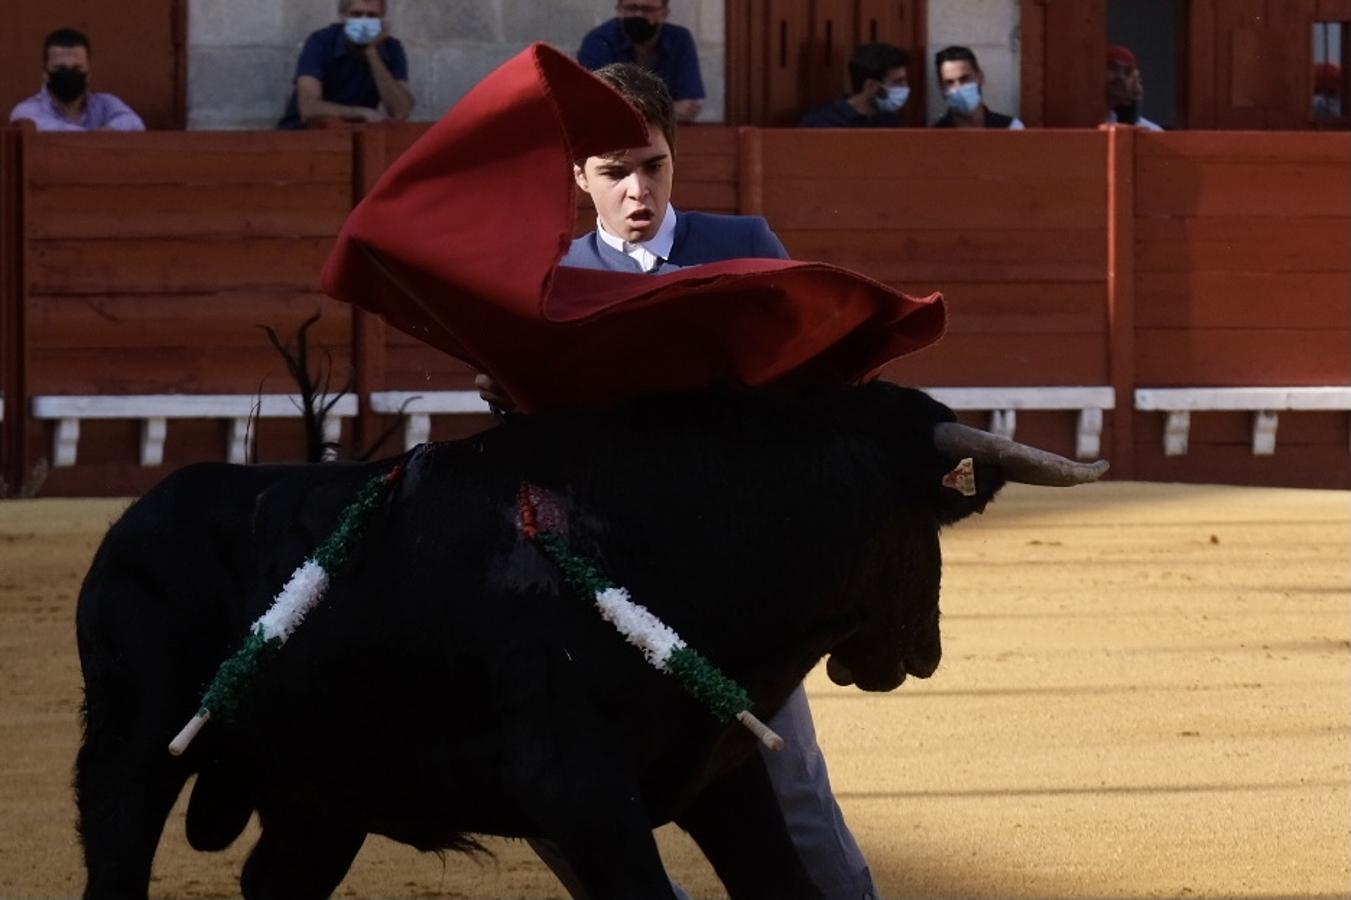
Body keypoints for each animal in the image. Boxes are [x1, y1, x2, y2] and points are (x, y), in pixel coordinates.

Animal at [73, 381, 1102, 891]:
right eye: (933, 521)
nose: (918, 652)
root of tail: (131, 522)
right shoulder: (581, 798)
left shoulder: (720, 778)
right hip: (131, 747)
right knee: (118, 863)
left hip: (321, 795)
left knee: (272, 882)